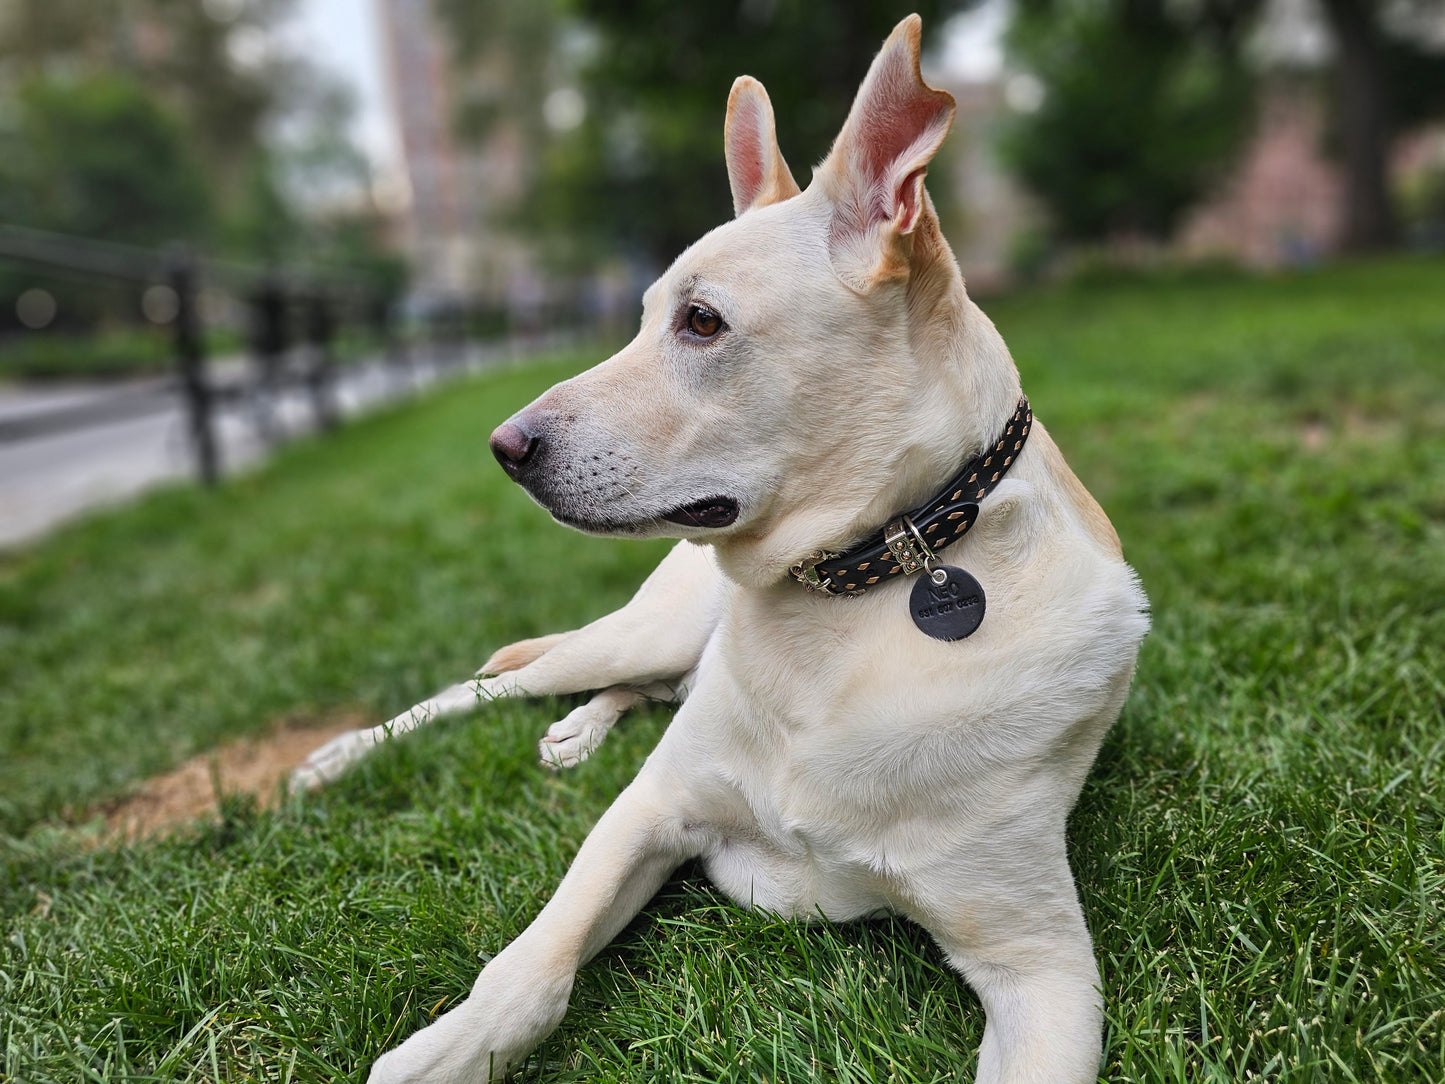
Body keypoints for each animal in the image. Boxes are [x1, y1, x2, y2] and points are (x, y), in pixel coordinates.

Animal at [296, 14, 1150, 1081]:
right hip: (636, 635)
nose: (503, 448)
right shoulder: (648, 812)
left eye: (701, 321)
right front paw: (454, 1046)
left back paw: (579, 731)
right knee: (491, 686)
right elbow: (535, 964)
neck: (857, 591)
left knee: (635, 692)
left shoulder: (1042, 968)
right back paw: (342, 759)